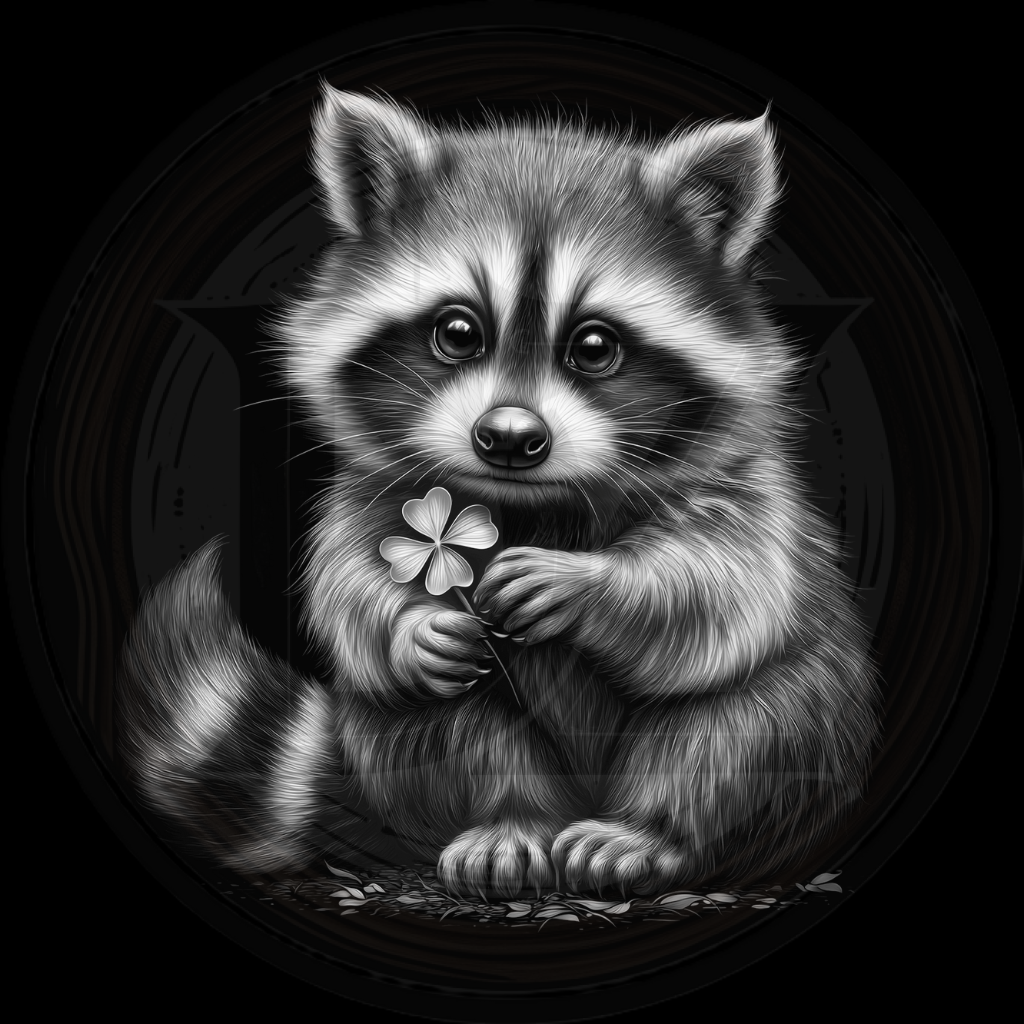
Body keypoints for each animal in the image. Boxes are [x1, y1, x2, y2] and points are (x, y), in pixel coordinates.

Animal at [118, 85, 880, 898]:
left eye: (594, 346)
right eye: (457, 331)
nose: (510, 438)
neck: (533, 503)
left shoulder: (743, 486)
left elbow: (724, 586)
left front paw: (589, 583)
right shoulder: (376, 489)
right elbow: (350, 584)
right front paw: (407, 627)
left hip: (817, 726)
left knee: (744, 724)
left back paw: (656, 830)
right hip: (404, 740)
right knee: (439, 722)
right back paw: (511, 817)